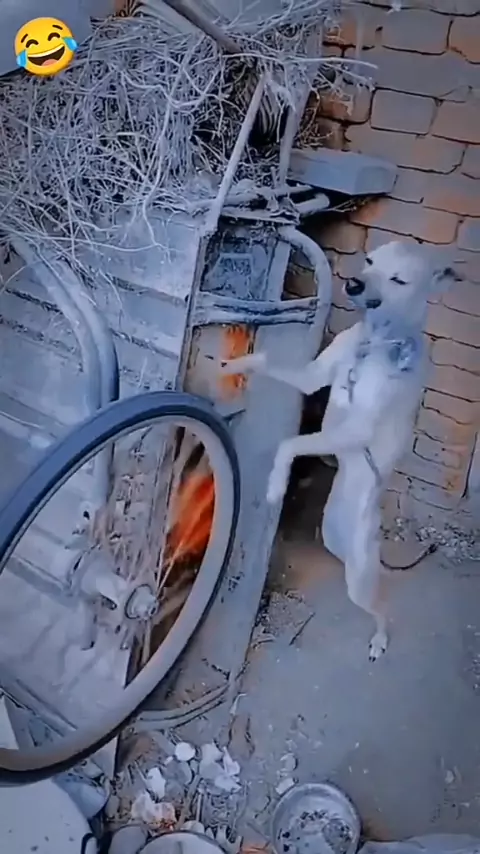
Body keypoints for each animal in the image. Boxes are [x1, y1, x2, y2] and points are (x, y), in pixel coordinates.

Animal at [221, 240, 459, 659]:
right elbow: (266, 362)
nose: (352, 284)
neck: (371, 342)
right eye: (369, 260)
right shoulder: (311, 377)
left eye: (399, 279)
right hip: (336, 543)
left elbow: (290, 442)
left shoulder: (355, 429)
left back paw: (379, 640)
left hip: (359, 578)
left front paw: (276, 483)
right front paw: (237, 363)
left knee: (381, 607)